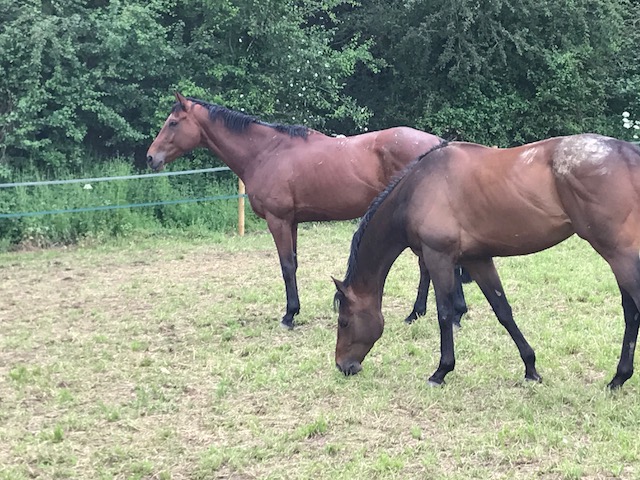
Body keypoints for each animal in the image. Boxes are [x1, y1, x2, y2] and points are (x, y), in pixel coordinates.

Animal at [145, 92, 468, 328]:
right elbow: (295, 264)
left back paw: (434, 313)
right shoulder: (292, 222)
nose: (150, 158)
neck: (266, 152)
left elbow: (286, 266)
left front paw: (289, 315)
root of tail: (437, 144)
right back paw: (432, 313)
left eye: (173, 123)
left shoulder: (277, 220)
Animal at [332, 133, 640, 388]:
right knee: (631, 312)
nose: (344, 366)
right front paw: (531, 368)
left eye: (344, 322)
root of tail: (628, 153)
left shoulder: (438, 257)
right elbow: (503, 310)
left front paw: (441, 371)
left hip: (618, 254)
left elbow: (444, 313)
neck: (418, 188)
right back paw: (619, 378)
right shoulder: (477, 259)